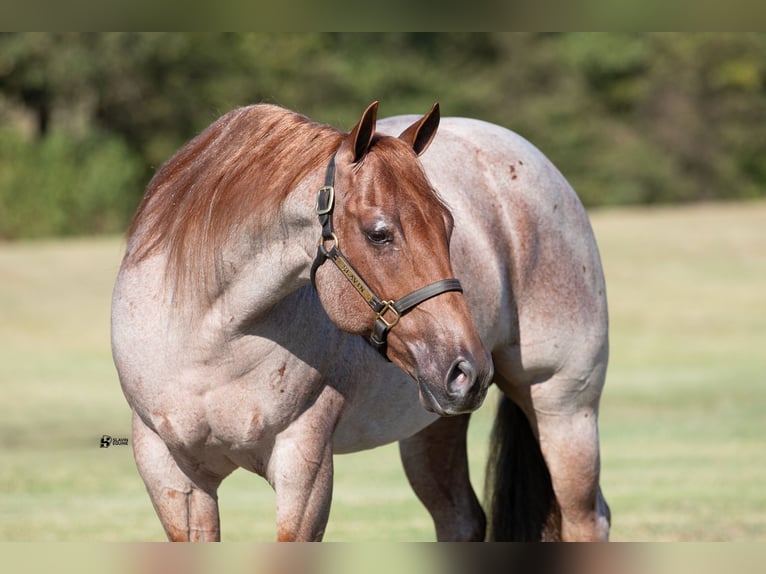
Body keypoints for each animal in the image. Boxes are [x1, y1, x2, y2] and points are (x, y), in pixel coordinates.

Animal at [111, 100, 612, 544]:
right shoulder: (171, 475)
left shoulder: (304, 468)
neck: (208, 343)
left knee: (587, 518)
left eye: (448, 225)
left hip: (564, 408)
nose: (469, 370)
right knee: (462, 520)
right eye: (379, 233)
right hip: (432, 425)